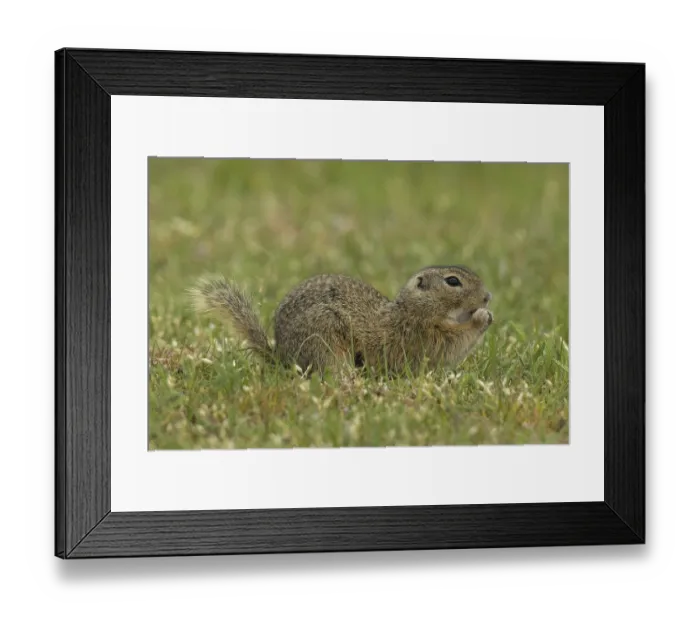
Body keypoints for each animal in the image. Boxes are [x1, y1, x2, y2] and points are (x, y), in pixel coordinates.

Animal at [189, 265, 493, 376]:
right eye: (452, 281)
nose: (488, 296)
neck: (413, 309)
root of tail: (282, 358)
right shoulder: (422, 334)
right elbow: (452, 343)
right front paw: (481, 318)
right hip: (326, 342)